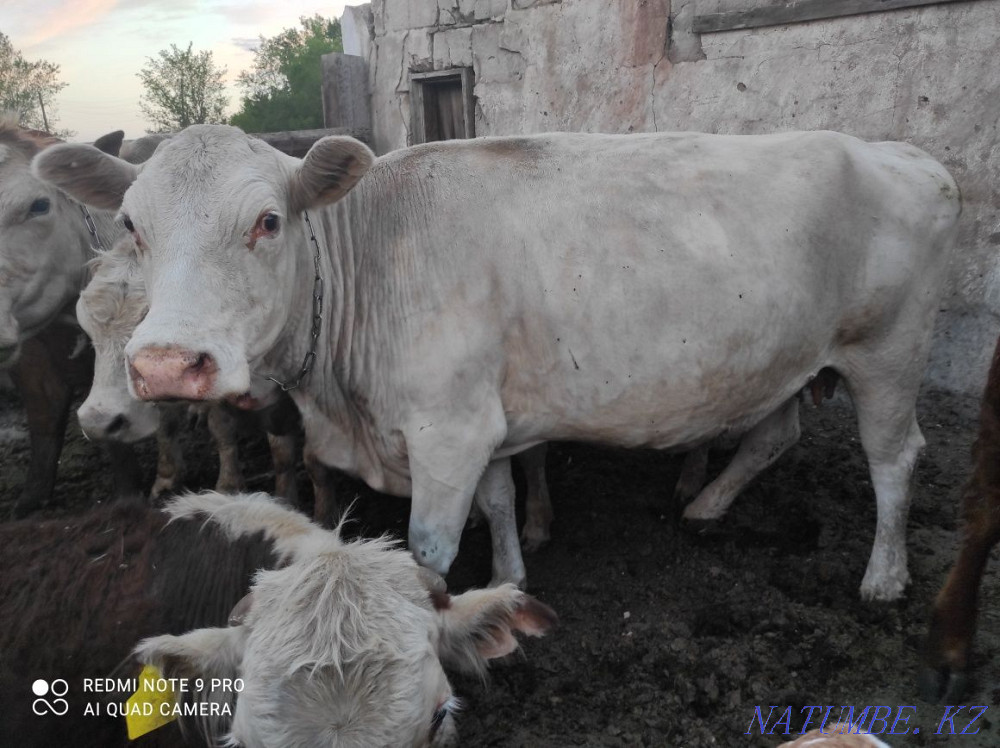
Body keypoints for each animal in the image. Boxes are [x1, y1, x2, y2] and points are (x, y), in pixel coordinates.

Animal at [33, 126, 962, 599]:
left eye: (266, 221)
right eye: (132, 225)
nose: (167, 364)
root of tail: (910, 154)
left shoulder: (446, 428)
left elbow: (431, 548)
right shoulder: (478, 417)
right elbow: (503, 500)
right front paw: (513, 580)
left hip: (887, 350)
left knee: (893, 459)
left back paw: (884, 578)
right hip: (785, 356)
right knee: (775, 435)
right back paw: (706, 505)